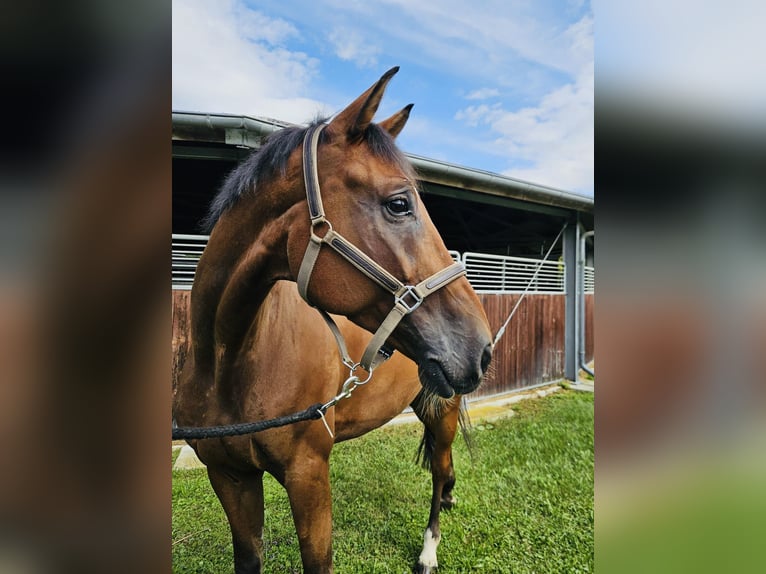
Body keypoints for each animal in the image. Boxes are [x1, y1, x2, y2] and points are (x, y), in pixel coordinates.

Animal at [175, 68, 496, 574]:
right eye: (400, 203)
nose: (480, 348)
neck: (228, 362)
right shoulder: (229, 476)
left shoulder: (308, 475)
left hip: (440, 410)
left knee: (440, 469)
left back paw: (428, 550)